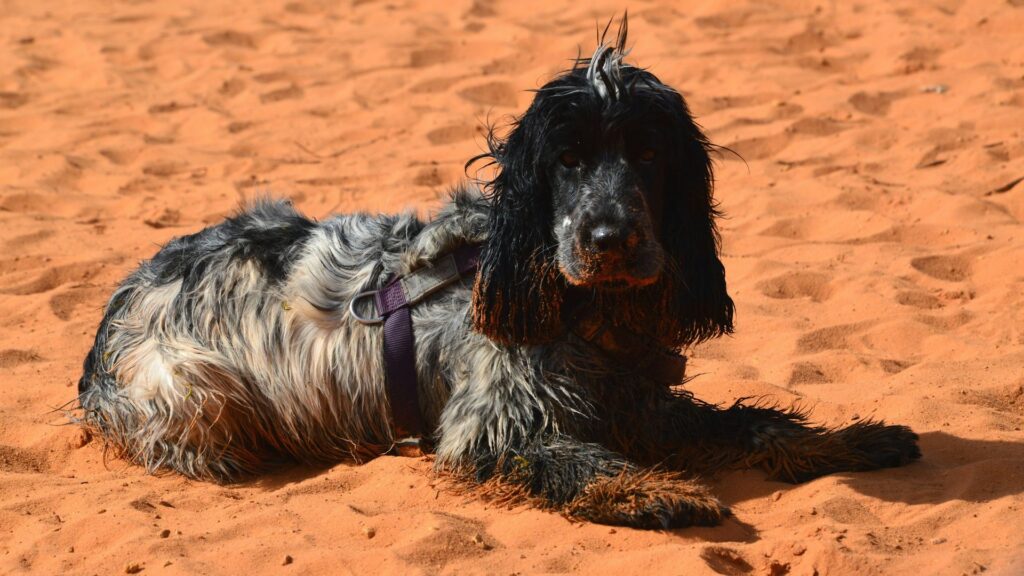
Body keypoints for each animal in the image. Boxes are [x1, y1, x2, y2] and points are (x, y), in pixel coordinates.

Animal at [75, 22, 917, 528]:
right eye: (567, 160)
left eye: (648, 154)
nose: (610, 238)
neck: (586, 313)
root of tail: (117, 305)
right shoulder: (492, 425)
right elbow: (577, 458)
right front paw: (662, 490)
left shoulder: (640, 401)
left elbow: (754, 422)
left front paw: (853, 440)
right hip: (198, 387)